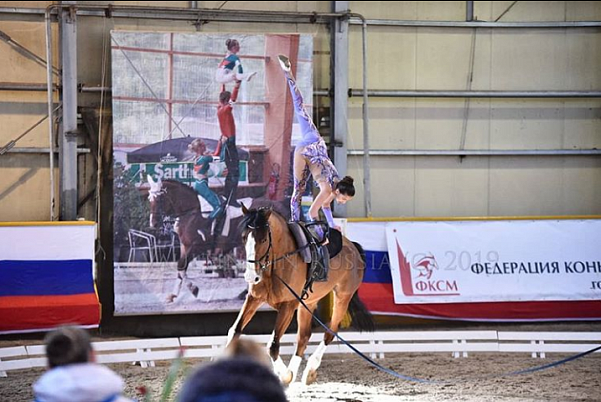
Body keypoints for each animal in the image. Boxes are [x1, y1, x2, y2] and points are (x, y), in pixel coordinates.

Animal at [226, 206, 372, 384]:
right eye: (243, 237)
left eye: (263, 240)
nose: (250, 276)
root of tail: (353, 247)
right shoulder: (254, 299)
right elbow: (234, 331)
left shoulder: (288, 305)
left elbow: (272, 345)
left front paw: (285, 376)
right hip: (308, 304)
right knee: (303, 337)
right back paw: (299, 372)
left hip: (342, 298)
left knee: (330, 332)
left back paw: (309, 369)